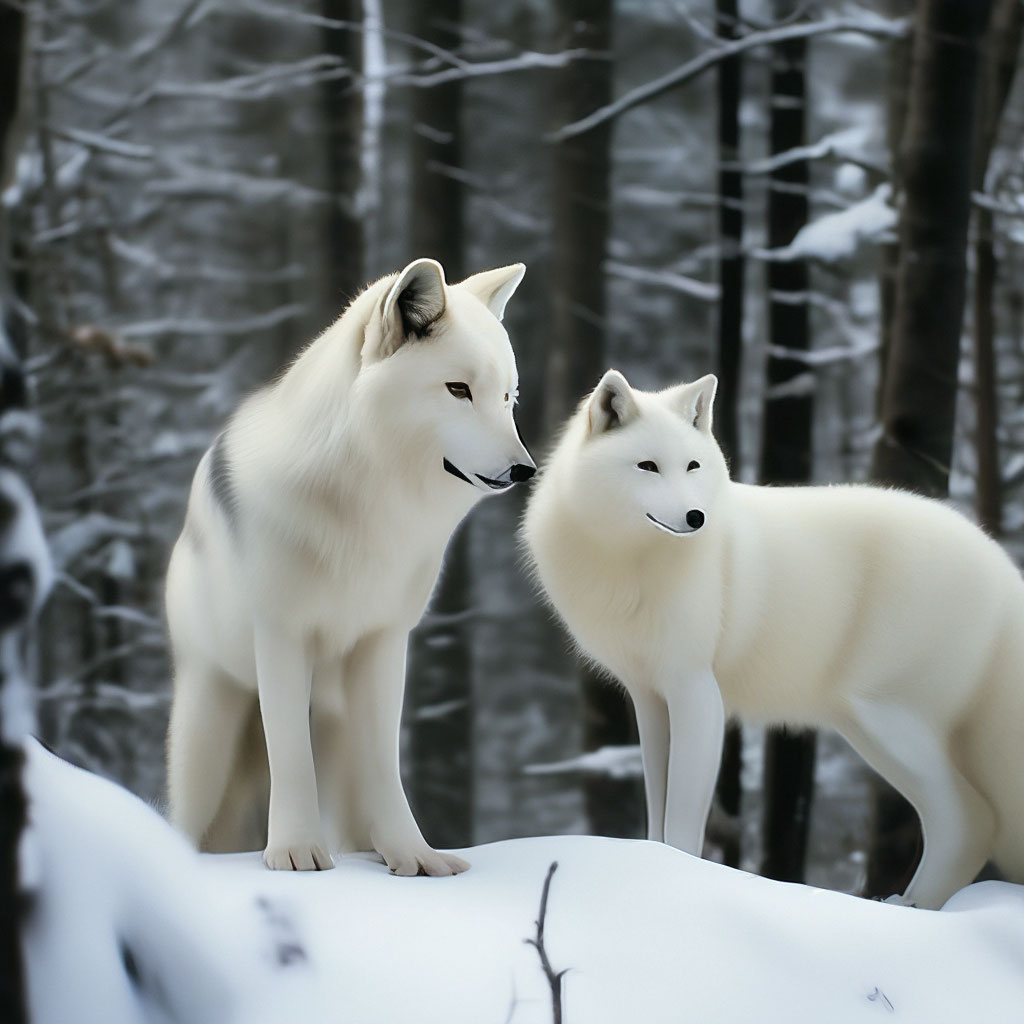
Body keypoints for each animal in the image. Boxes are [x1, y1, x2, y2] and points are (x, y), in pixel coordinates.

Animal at [165, 256, 536, 872]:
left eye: (508, 397)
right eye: (458, 389)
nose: (525, 470)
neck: (372, 507)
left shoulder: (384, 642)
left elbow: (385, 765)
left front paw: (413, 856)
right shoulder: (282, 638)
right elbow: (291, 757)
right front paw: (295, 853)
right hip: (209, 728)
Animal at [524, 370, 1024, 913]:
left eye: (693, 465)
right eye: (648, 466)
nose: (696, 517)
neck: (631, 563)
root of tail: (1002, 566)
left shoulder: (696, 690)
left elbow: (683, 821)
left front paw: (680, 881)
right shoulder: (649, 698)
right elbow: (657, 813)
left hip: (883, 717)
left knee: (969, 819)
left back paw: (903, 908)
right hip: (867, 725)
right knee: (971, 823)